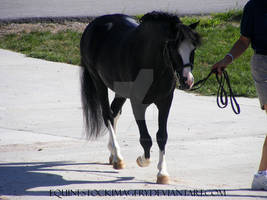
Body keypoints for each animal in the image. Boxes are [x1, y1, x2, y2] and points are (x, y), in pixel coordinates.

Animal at [79, 11, 201, 184]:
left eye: (193, 49)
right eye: (173, 47)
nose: (188, 80)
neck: (152, 65)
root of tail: (94, 24)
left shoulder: (165, 102)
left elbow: (161, 136)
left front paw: (162, 173)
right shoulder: (137, 104)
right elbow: (146, 138)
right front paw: (143, 160)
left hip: (120, 90)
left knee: (114, 112)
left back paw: (113, 155)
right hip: (98, 81)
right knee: (107, 115)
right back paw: (118, 157)